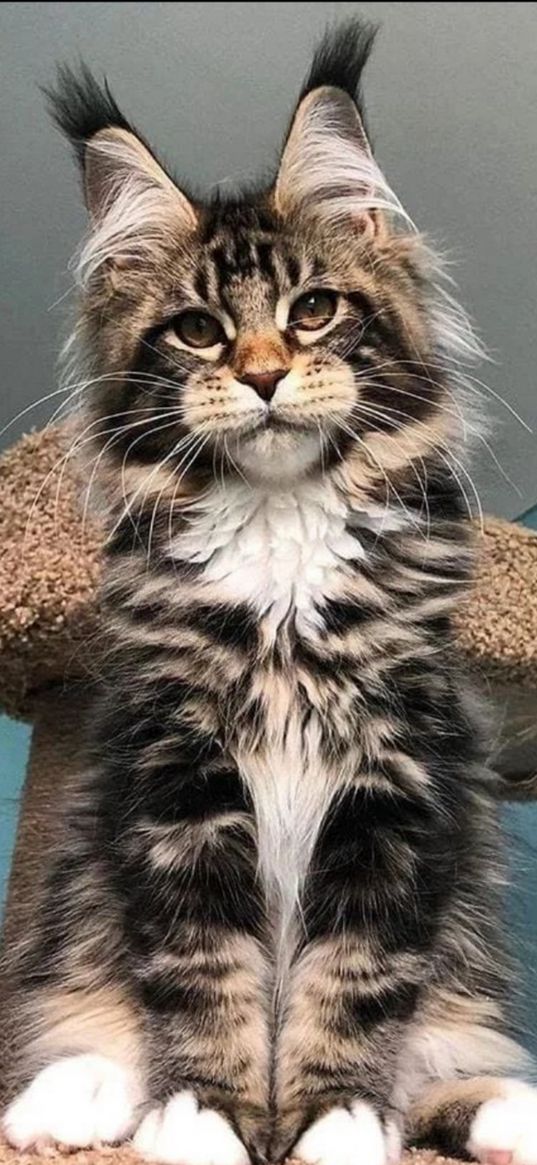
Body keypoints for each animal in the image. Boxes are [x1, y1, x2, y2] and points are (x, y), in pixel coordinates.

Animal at [4, 15, 535, 1165]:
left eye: (315, 312)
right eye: (199, 330)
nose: (259, 375)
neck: (282, 533)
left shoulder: (396, 791)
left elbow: (353, 988)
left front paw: (335, 1125)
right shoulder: (175, 786)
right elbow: (206, 981)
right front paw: (206, 1118)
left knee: (443, 1062)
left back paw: (509, 1113)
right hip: (81, 892)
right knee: (92, 1014)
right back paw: (73, 1101)